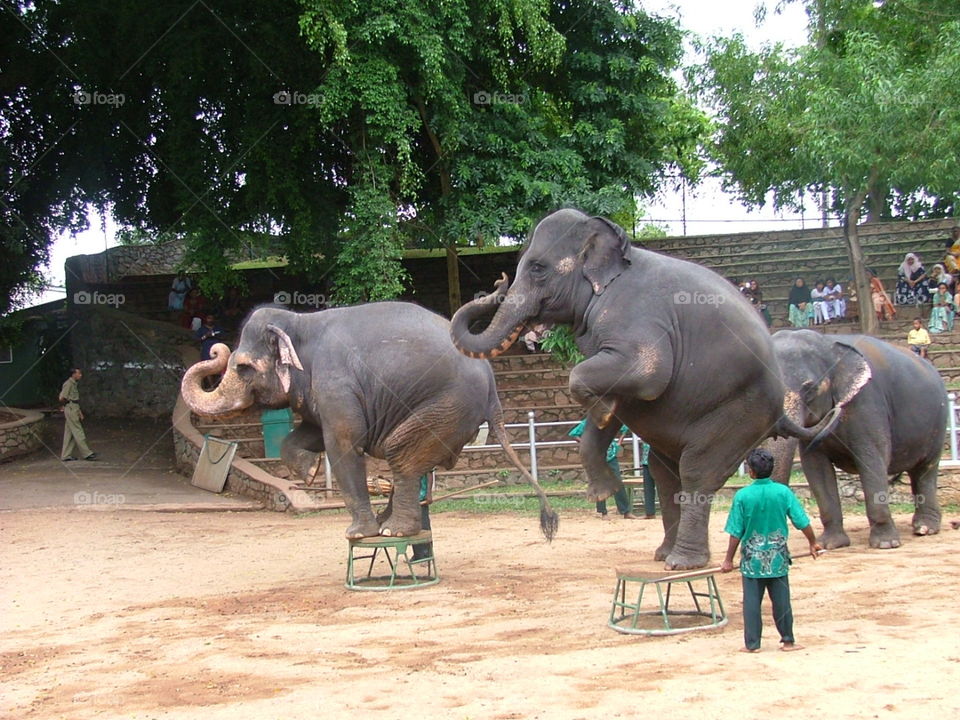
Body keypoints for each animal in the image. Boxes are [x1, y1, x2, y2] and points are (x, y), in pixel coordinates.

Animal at [180, 302, 558, 541]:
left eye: (243, 367)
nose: (215, 348)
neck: (300, 322)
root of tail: (493, 387)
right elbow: (312, 432)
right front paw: (310, 472)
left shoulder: (336, 382)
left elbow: (345, 442)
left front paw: (356, 534)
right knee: (414, 462)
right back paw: (390, 522)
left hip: (448, 405)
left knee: (401, 453)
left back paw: (391, 530)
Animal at [450, 208, 836, 569]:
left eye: (537, 268)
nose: (497, 282)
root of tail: (780, 412)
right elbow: (615, 409)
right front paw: (603, 483)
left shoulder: (637, 317)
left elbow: (647, 374)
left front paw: (602, 415)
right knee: (666, 474)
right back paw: (663, 553)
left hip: (739, 413)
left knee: (696, 471)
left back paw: (682, 562)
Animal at [767, 330, 945, 549]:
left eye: (810, 390)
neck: (827, 342)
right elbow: (816, 468)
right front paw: (830, 544)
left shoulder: (867, 402)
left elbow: (872, 458)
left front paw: (886, 544)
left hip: (938, 423)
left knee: (926, 469)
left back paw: (925, 528)